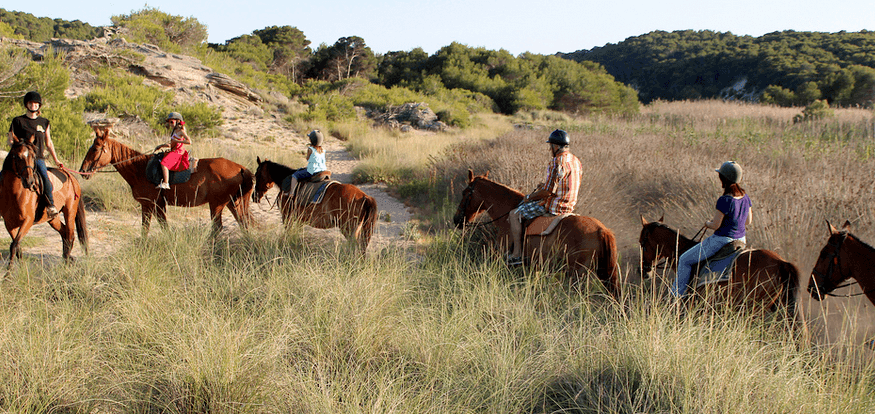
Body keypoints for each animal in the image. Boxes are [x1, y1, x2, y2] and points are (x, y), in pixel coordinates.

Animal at [78, 128, 254, 235]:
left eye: (95, 149)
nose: (83, 169)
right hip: (234, 203)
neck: (140, 169)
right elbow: (145, 229)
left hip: (217, 204)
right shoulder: (147, 205)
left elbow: (163, 228)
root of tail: (240, 168)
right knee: (243, 224)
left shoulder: (157, 205)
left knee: (218, 228)